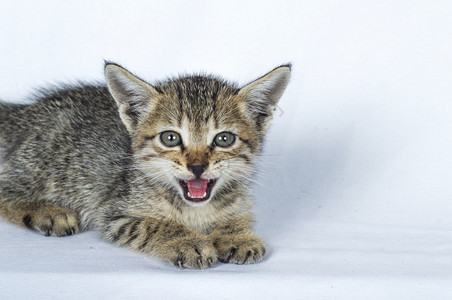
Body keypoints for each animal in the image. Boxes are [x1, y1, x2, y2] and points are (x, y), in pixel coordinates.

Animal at [0, 62, 290, 268]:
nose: (197, 167)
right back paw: (47, 212)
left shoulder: (239, 200)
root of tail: (25, 112)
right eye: (170, 138)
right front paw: (189, 242)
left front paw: (236, 235)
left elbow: (236, 216)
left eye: (224, 139)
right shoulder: (115, 214)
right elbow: (157, 224)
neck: (194, 210)